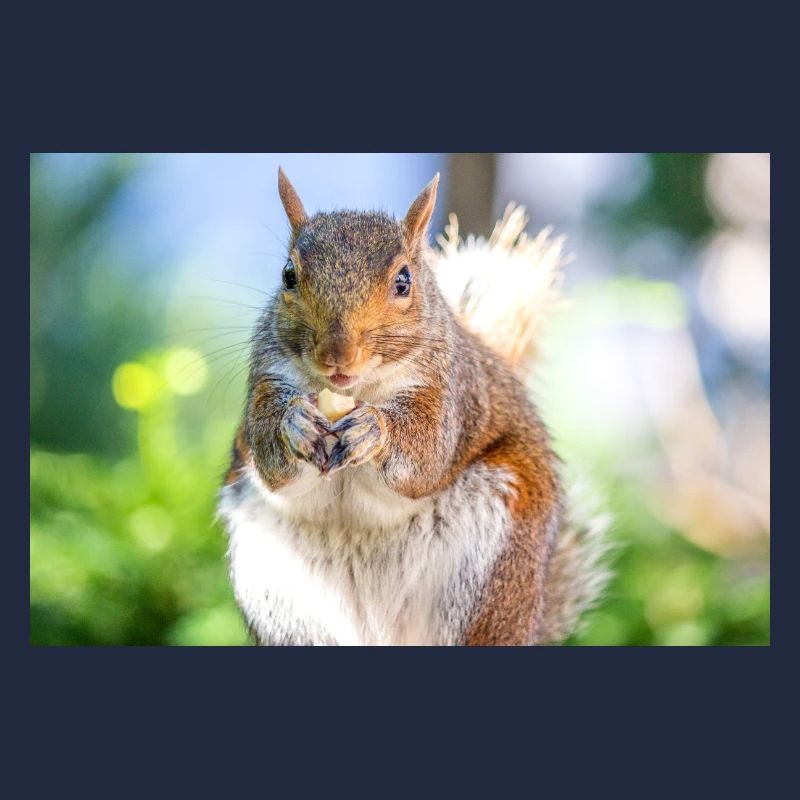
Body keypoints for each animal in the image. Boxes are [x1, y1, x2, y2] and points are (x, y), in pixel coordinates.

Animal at [218, 168, 610, 645]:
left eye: (404, 281)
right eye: (288, 275)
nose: (336, 355)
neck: (360, 390)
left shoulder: (449, 393)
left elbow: (425, 456)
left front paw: (375, 430)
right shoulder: (267, 378)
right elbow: (271, 458)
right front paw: (294, 424)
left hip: (492, 576)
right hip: (283, 598)